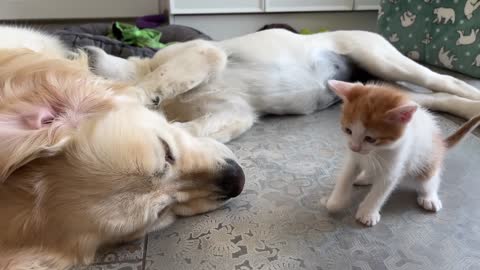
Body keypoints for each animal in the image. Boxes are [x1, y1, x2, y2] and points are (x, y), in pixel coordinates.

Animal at [87, 28, 480, 143]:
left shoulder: (203, 53)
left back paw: (474, 95)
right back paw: (472, 110)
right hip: (378, 89)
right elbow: (198, 128)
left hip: (381, 58)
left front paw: (133, 98)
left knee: (444, 79)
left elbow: (156, 81)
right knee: (438, 96)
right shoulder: (235, 112)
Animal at [320, 80, 480, 226]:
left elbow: (380, 191)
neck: (378, 151)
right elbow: (345, 176)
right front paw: (335, 201)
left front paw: (367, 213)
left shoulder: (395, 166)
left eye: (370, 139)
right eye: (348, 130)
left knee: (429, 180)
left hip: (428, 160)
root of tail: (441, 142)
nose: (354, 147)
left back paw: (429, 197)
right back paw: (365, 177)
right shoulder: (354, 159)